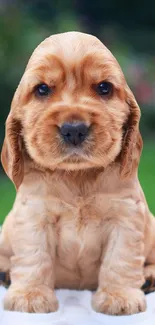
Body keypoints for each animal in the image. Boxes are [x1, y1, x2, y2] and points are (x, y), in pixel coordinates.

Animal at [0, 31, 155, 314]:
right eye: (42, 89)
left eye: (104, 87)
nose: (74, 129)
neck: (77, 176)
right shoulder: (34, 216)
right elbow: (34, 257)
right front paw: (30, 296)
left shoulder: (125, 216)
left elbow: (120, 258)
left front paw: (119, 297)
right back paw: (5, 273)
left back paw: (149, 277)